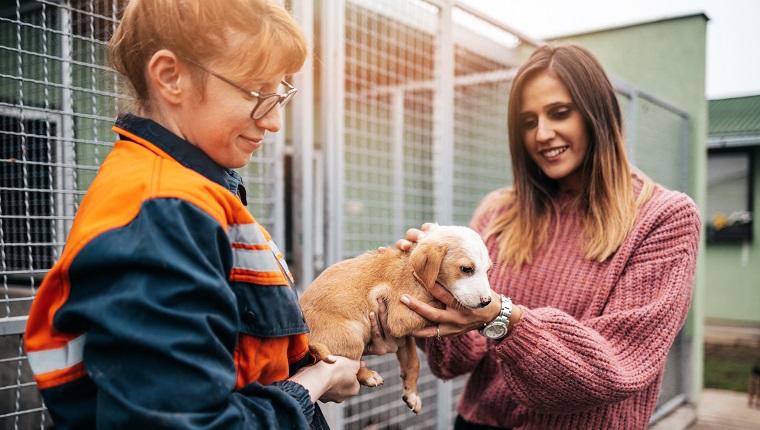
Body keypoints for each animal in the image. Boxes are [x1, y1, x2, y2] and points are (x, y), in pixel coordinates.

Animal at [296, 225, 492, 414]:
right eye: (466, 269)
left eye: (488, 270)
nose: (488, 302)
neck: (413, 271)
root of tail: (308, 341)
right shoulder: (401, 316)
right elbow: (440, 304)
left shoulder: (403, 335)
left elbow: (413, 362)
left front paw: (411, 393)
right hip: (353, 334)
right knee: (349, 364)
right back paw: (367, 375)